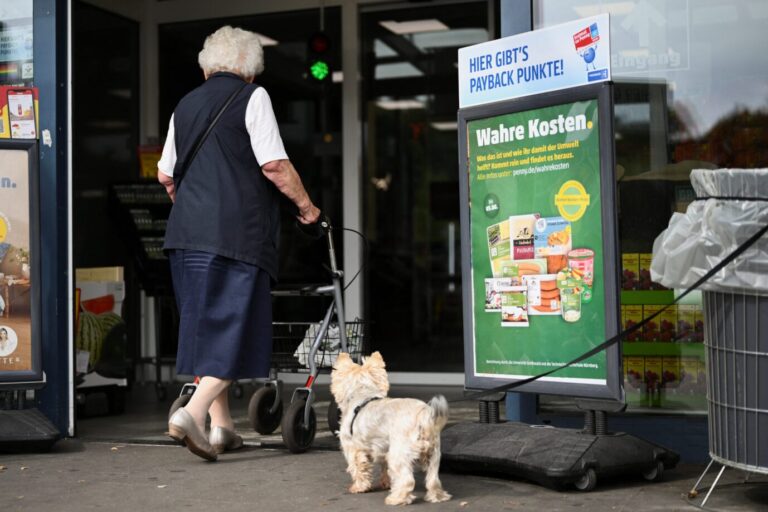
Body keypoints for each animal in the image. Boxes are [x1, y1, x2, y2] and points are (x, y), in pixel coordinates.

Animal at [328, 350, 450, 506]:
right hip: (433, 455)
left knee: (407, 480)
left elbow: (358, 468)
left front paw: (359, 487)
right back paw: (437, 496)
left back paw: (396, 499)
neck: (362, 396)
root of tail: (423, 415)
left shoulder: (352, 448)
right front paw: (386, 483)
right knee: (433, 480)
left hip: (399, 454)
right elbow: (383, 467)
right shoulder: (382, 449)